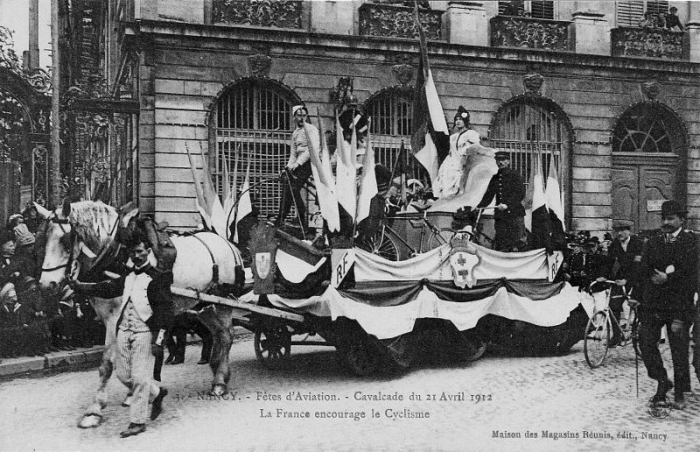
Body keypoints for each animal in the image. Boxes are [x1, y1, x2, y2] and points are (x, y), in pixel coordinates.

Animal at [35, 200, 245, 428]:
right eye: (43, 238)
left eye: (66, 240)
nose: (47, 285)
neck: (118, 254)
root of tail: (228, 243)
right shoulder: (109, 316)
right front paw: (134, 393)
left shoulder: (114, 319)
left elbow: (108, 364)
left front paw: (95, 409)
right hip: (205, 305)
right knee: (218, 335)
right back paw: (217, 371)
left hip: (222, 304)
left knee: (227, 335)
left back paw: (219, 381)